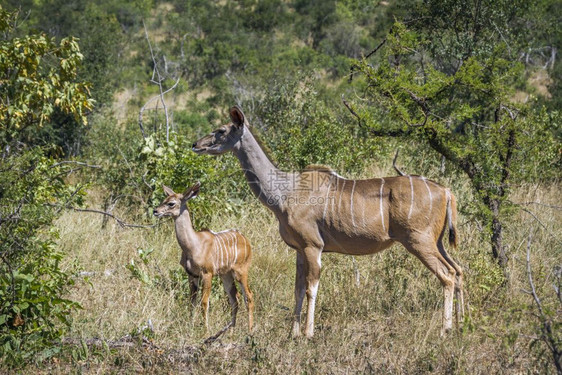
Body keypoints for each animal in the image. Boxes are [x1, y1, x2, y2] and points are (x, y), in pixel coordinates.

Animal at [151, 182, 252, 332]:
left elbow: (204, 302)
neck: (192, 246)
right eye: (164, 199)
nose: (155, 211)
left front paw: (205, 330)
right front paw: (190, 326)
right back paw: (231, 330)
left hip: (241, 271)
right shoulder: (192, 274)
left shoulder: (207, 273)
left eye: (171, 203)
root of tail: (246, 240)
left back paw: (250, 331)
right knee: (235, 298)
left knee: (248, 296)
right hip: (226, 275)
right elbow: (192, 302)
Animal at [192, 106, 464, 338]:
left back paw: (445, 330)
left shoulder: (314, 246)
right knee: (459, 269)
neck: (284, 191)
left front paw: (308, 334)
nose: (195, 145)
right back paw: (463, 324)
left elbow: (311, 288)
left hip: (418, 241)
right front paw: (292, 334)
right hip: (437, 242)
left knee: (448, 274)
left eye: (221, 130)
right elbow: (297, 289)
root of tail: (446, 191)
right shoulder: (299, 250)